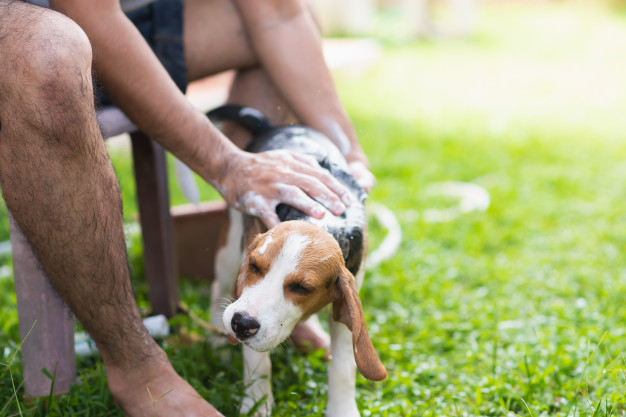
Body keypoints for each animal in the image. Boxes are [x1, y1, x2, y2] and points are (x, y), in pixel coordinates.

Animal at [208, 105, 386, 414]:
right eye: (254, 266)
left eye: (302, 288)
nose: (241, 324)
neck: (321, 216)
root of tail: (274, 126)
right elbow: (258, 363)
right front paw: (256, 404)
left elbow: (344, 366)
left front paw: (342, 409)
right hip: (229, 249)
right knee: (218, 287)